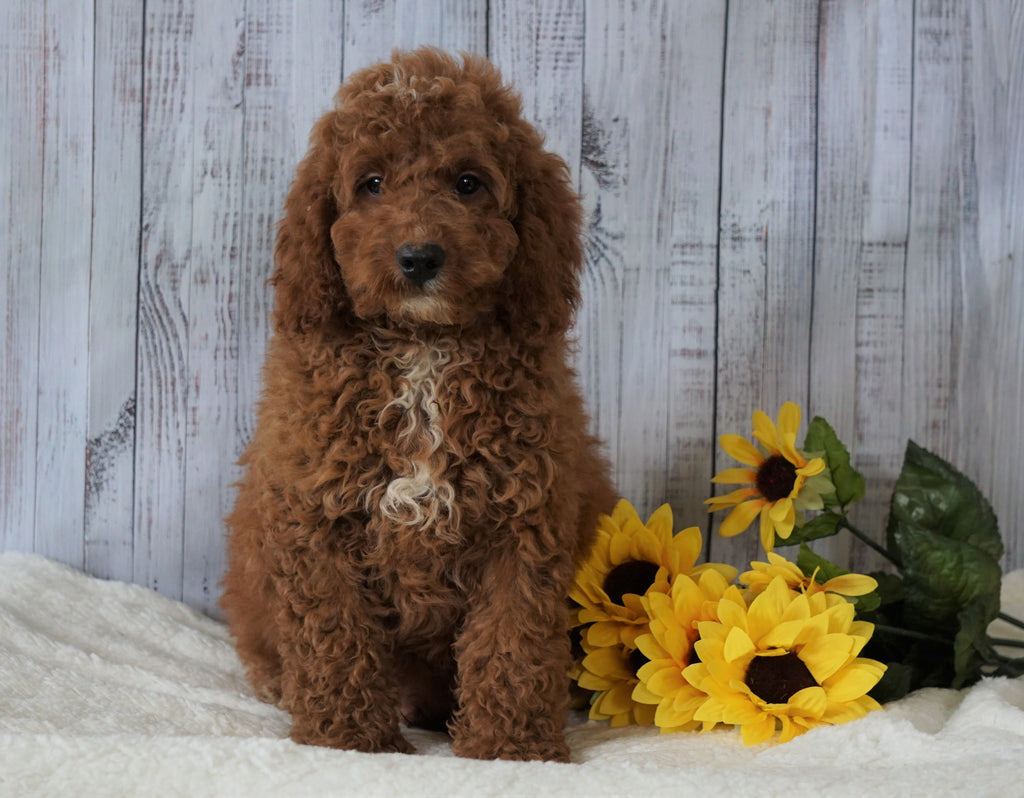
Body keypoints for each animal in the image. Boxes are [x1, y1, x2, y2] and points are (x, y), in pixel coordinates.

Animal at [220, 49, 610, 762]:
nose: (420, 257)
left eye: (468, 183)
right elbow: (335, 634)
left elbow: (512, 635)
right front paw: (347, 738)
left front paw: (511, 747)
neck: (422, 348)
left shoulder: (522, 517)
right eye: (372, 184)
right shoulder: (316, 516)